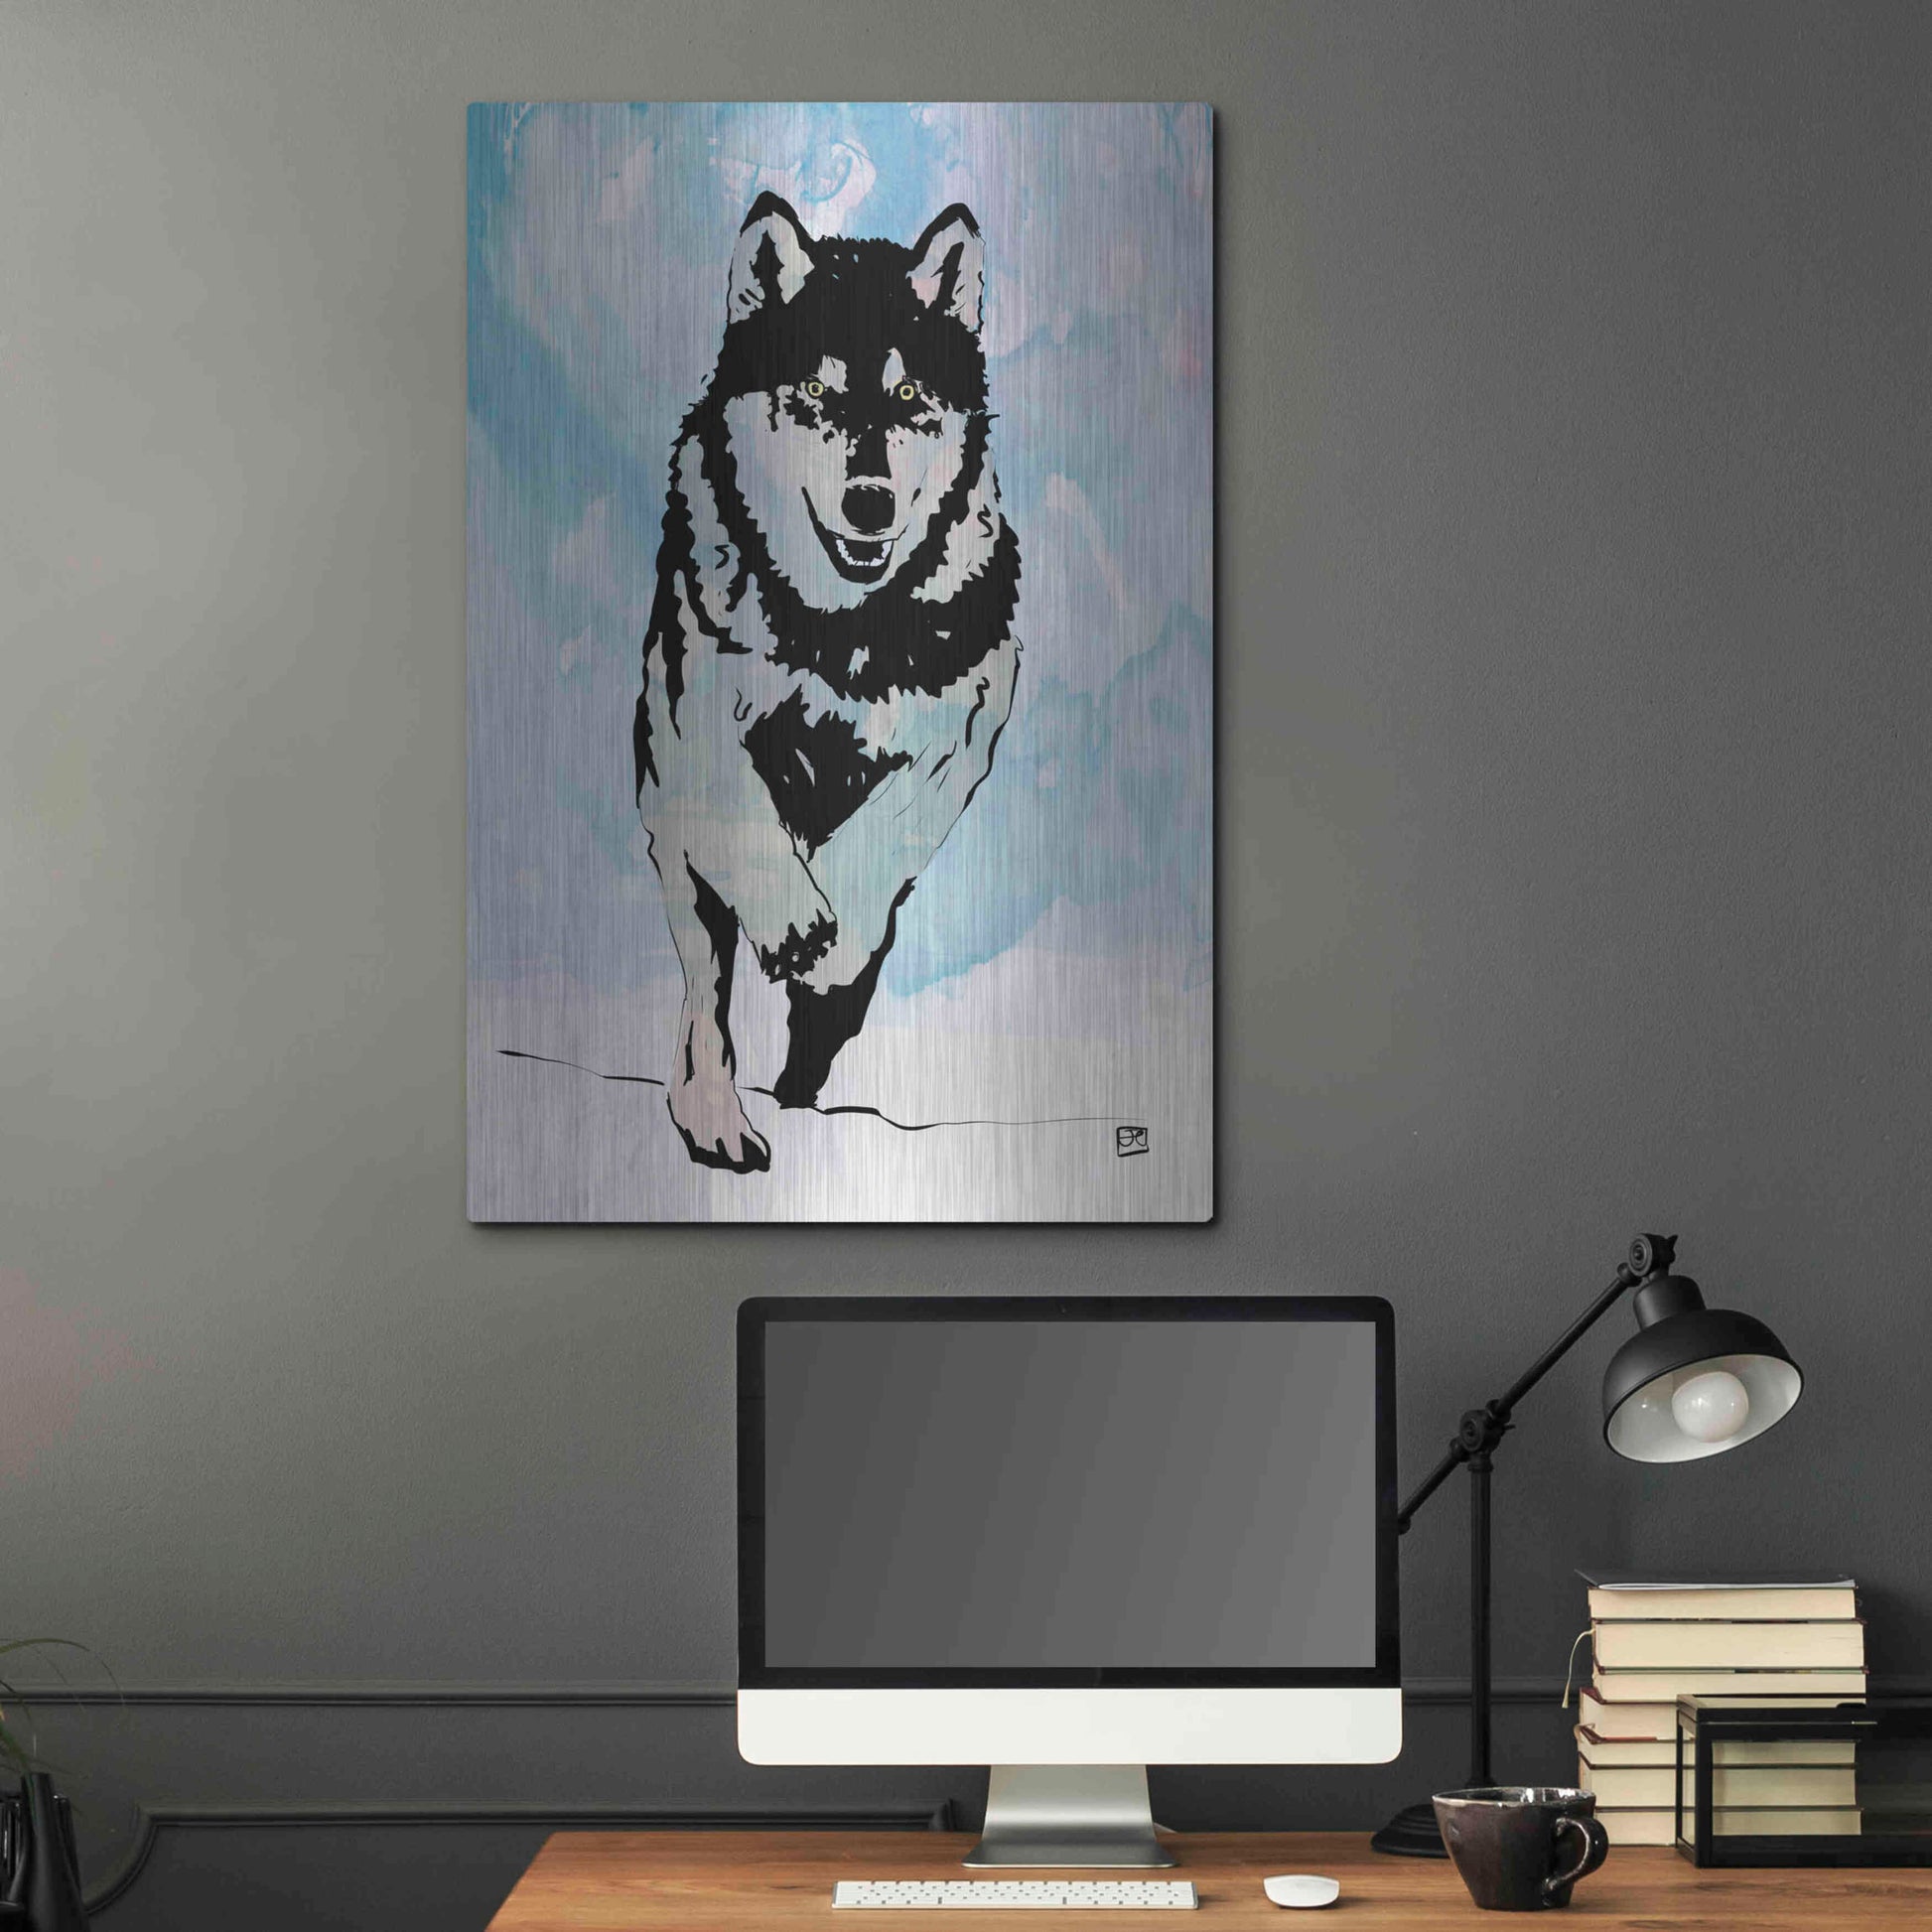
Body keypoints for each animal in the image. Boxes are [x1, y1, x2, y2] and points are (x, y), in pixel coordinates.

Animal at [634, 194, 1022, 1172]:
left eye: (911, 396)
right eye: (813, 393)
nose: (870, 504)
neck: (840, 629)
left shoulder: (966, 729)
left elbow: (886, 829)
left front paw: (831, 928)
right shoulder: (691, 720)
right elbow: (745, 805)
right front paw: (795, 919)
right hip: (677, 854)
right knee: (707, 1005)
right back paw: (717, 1120)